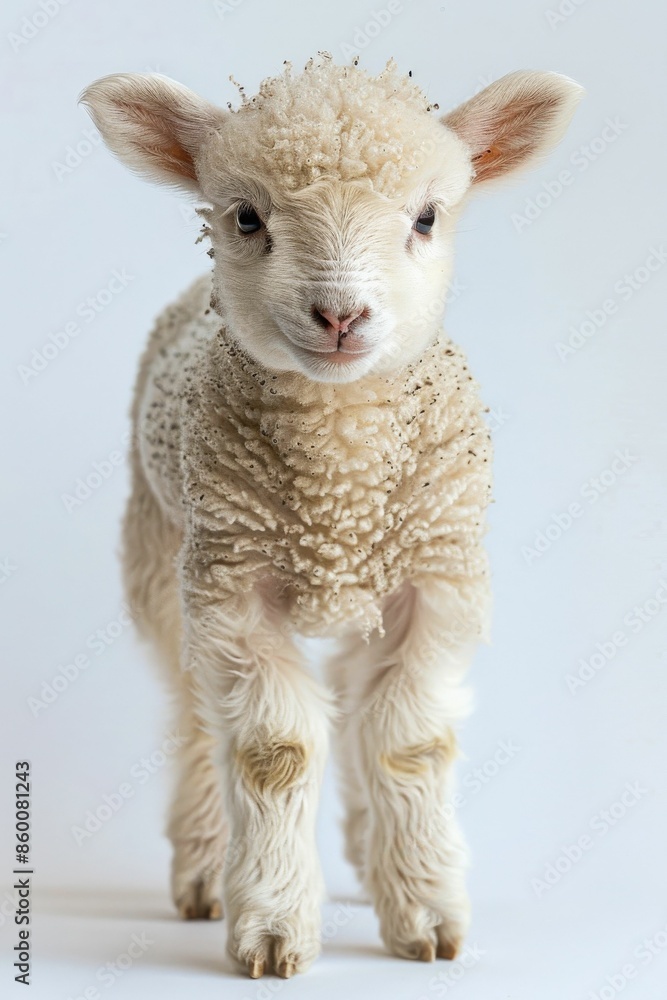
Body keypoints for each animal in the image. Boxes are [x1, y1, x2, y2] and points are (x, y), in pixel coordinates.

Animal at [81, 54, 582, 979]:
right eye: (246, 217)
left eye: (426, 216)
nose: (341, 315)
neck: (337, 483)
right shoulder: (232, 588)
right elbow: (271, 752)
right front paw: (274, 928)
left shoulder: (435, 581)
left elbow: (405, 740)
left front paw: (423, 912)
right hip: (160, 554)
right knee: (192, 711)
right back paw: (203, 866)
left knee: (351, 691)